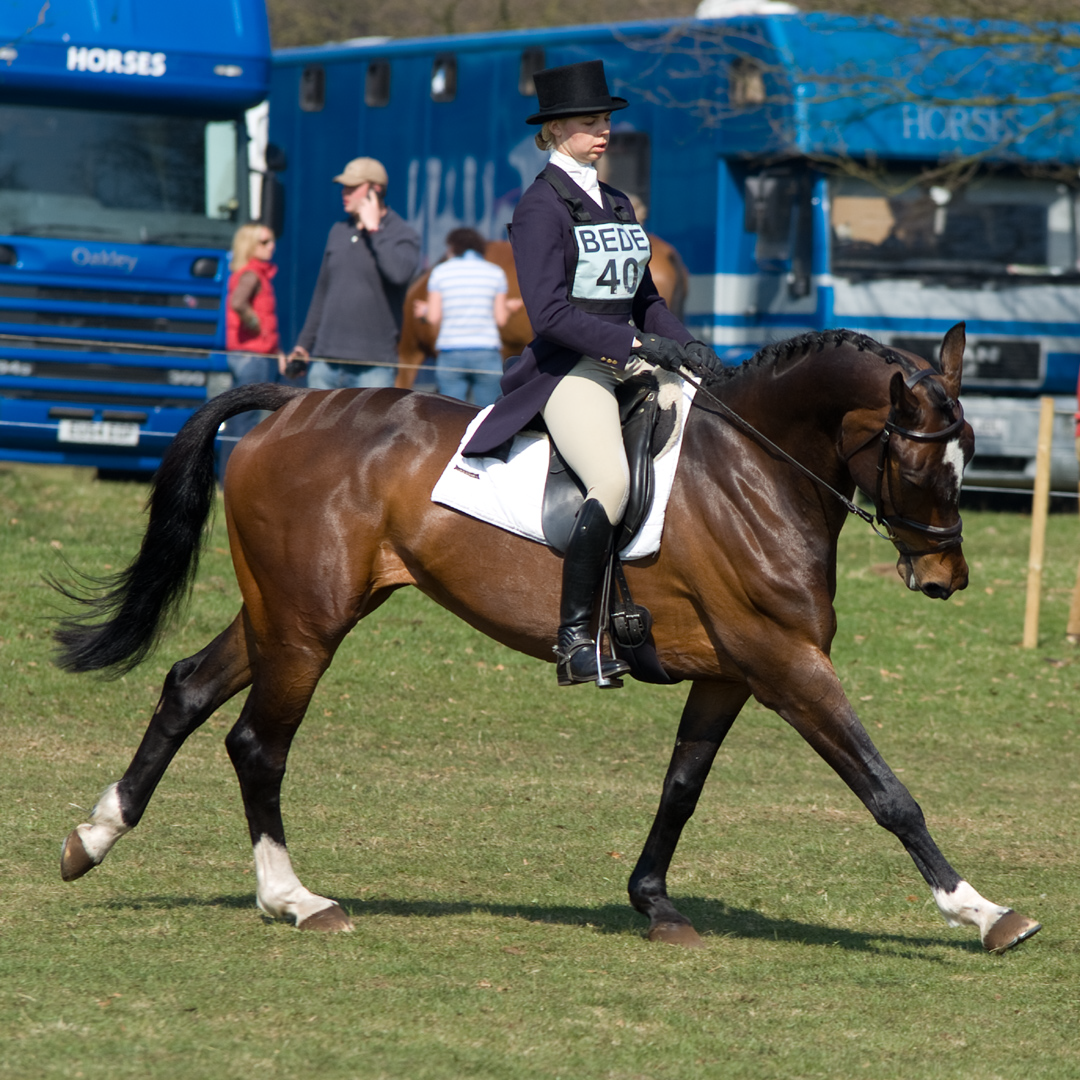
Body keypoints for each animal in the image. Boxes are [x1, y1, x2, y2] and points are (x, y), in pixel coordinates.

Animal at [54, 319, 1041, 954]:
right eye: (917, 459)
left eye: (970, 454)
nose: (945, 578)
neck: (755, 467)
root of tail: (295, 403)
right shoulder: (788, 664)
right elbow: (886, 790)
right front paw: (984, 913)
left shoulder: (731, 672)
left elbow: (682, 787)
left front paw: (653, 903)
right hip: (307, 626)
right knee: (258, 743)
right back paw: (294, 900)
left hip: (286, 611)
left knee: (186, 686)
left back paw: (94, 838)